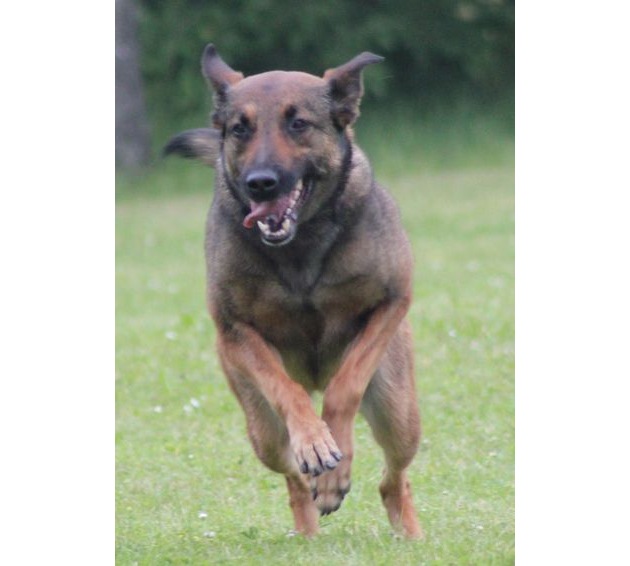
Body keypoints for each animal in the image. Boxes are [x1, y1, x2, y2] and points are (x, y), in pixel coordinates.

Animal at [164, 44, 422, 538]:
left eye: (298, 123)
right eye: (240, 128)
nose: (261, 182)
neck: (300, 242)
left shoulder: (392, 300)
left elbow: (345, 387)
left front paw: (336, 462)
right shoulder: (236, 331)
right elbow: (286, 390)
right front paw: (317, 445)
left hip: (399, 412)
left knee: (393, 477)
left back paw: (407, 530)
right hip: (262, 429)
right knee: (293, 478)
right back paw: (308, 524)